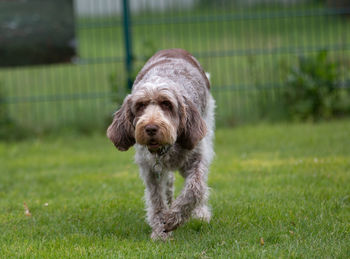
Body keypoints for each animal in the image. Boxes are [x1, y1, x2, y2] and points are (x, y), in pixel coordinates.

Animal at [108, 48, 215, 242]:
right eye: (140, 105)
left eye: (167, 103)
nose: (151, 128)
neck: (165, 149)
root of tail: (175, 49)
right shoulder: (150, 170)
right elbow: (156, 200)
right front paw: (160, 231)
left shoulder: (197, 159)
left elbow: (195, 189)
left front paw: (173, 218)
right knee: (168, 183)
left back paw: (200, 213)